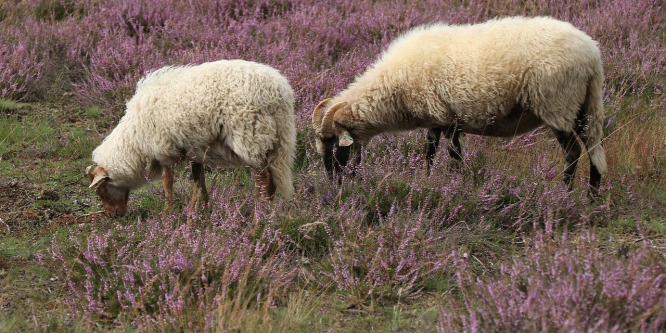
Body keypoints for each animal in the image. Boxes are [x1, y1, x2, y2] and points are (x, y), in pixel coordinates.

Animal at [85, 58, 294, 217]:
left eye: (101, 190)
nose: (112, 216)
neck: (135, 139)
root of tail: (279, 93)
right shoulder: (196, 150)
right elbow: (199, 181)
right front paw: (205, 209)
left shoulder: (164, 150)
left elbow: (168, 184)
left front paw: (167, 214)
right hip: (275, 141)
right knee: (272, 181)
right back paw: (267, 216)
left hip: (251, 137)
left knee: (263, 181)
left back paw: (258, 218)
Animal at [312, 16, 608, 195]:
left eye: (335, 147)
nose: (334, 186)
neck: (393, 88)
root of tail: (591, 54)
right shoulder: (439, 118)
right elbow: (434, 152)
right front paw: (432, 180)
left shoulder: (447, 117)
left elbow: (449, 154)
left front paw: (451, 184)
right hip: (584, 105)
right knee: (595, 149)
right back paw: (591, 195)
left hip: (557, 105)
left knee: (573, 151)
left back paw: (564, 193)